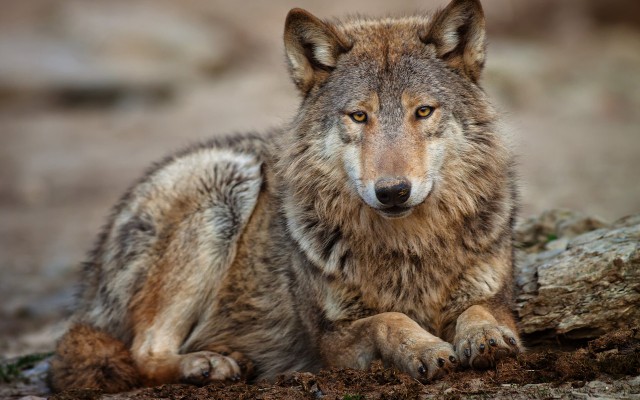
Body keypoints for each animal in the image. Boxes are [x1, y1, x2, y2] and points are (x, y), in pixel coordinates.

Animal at [48, 0, 520, 394]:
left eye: (423, 111)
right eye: (359, 116)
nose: (392, 192)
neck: (409, 247)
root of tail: (91, 278)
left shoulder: (496, 298)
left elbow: (479, 312)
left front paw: (487, 338)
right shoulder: (331, 342)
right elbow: (389, 319)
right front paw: (425, 349)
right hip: (226, 184)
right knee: (143, 352)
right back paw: (209, 364)